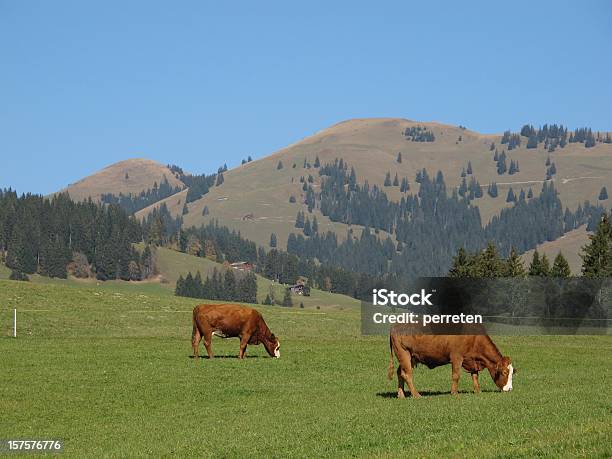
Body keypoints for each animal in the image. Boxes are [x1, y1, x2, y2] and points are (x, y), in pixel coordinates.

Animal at [388, 326, 516, 398]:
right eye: (504, 372)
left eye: (512, 372)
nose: (510, 389)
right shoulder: (457, 357)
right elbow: (456, 376)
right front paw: (454, 393)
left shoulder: (472, 360)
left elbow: (475, 376)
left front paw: (478, 391)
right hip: (404, 353)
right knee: (407, 374)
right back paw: (416, 395)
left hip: (408, 357)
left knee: (400, 373)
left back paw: (401, 394)